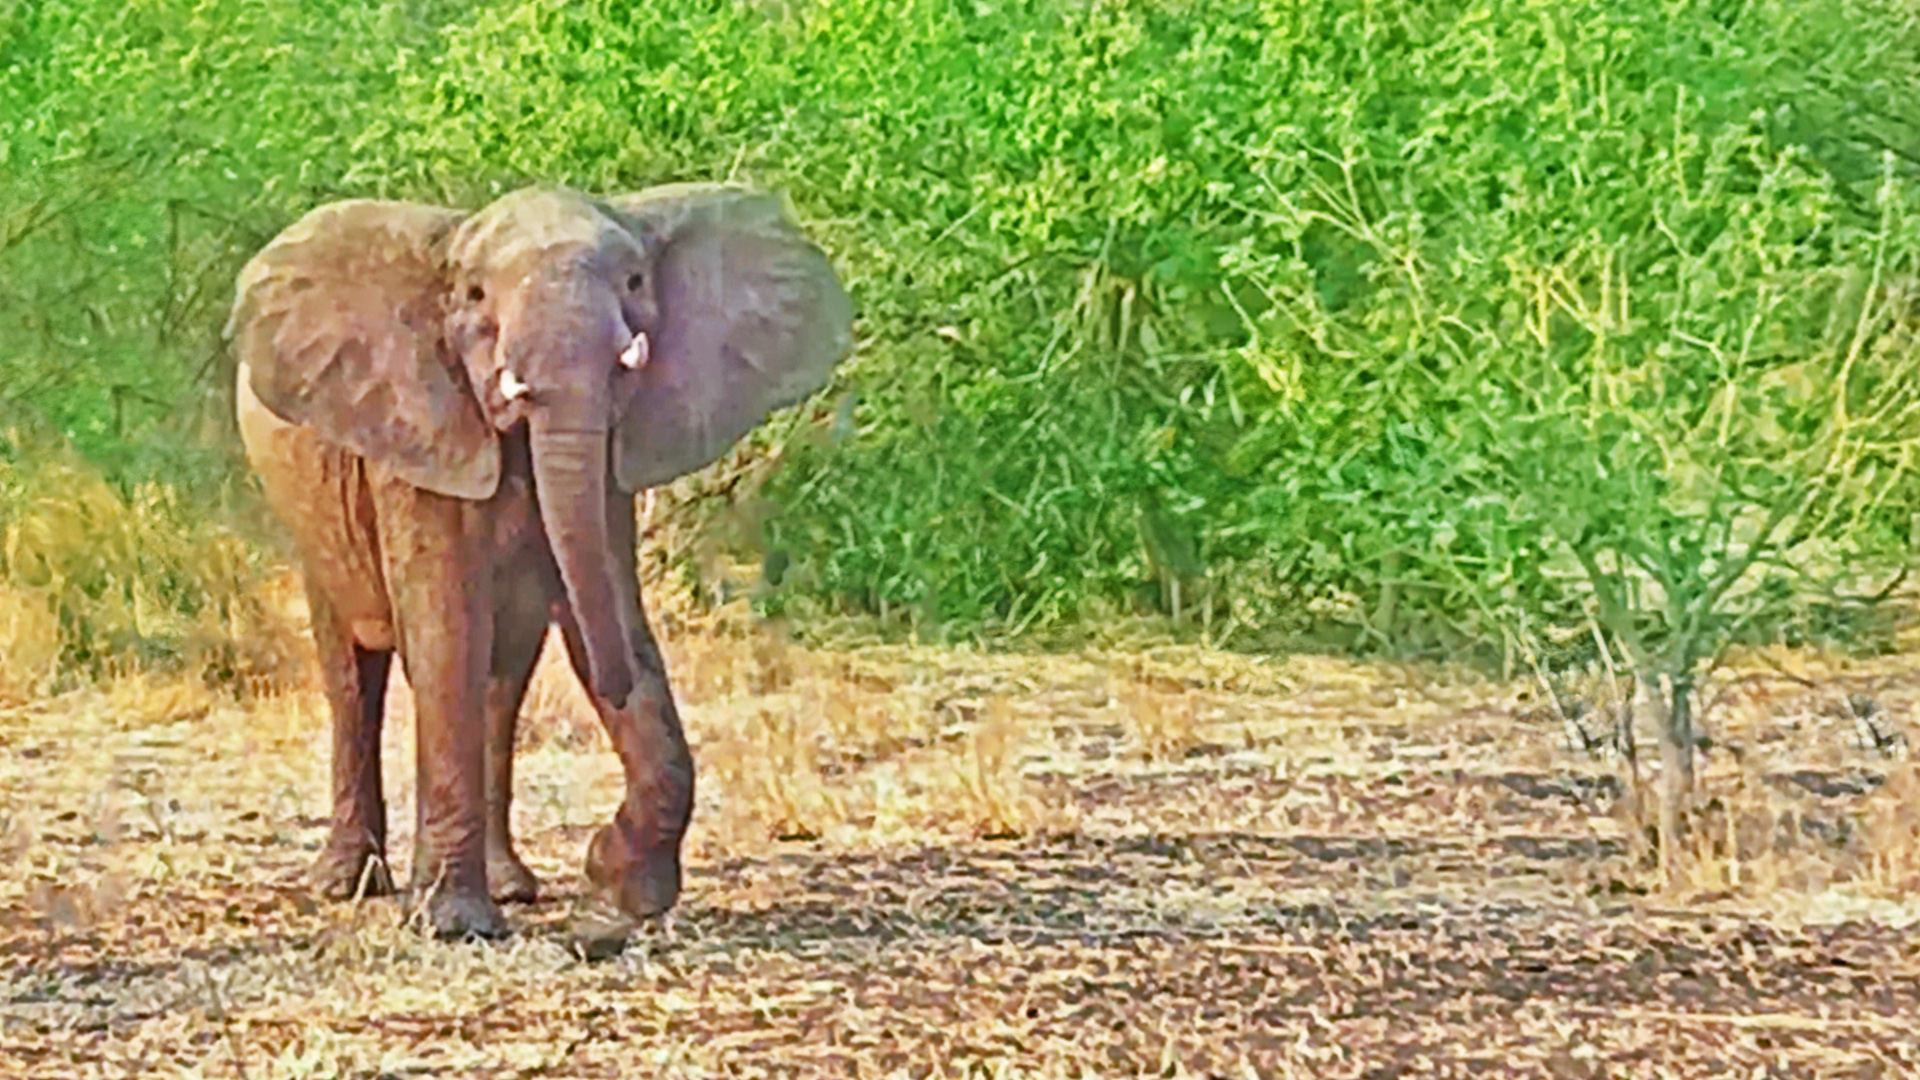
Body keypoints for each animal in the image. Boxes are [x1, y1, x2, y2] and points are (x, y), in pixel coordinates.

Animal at [227, 183, 852, 938]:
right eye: (473, 296)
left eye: (635, 282)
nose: (601, 856)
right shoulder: (420, 430)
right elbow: (446, 634)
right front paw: (452, 926)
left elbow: (599, 605)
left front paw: (621, 883)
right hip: (312, 513)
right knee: (354, 670)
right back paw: (348, 884)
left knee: (503, 681)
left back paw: (511, 886)